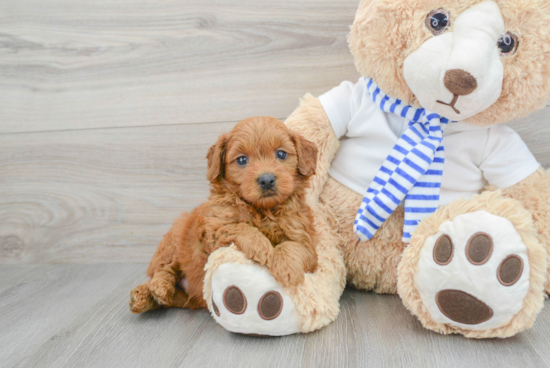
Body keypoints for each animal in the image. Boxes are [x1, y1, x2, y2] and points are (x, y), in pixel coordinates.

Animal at [130, 116, 320, 312]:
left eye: (281, 154)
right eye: (242, 160)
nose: (266, 180)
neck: (262, 210)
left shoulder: (304, 239)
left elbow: (293, 247)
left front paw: (288, 269)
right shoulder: (216, 228)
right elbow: (241, 228)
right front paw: (262, 247)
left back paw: (147, 298)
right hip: (175, 239)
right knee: (164, 269)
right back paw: (154, 289)